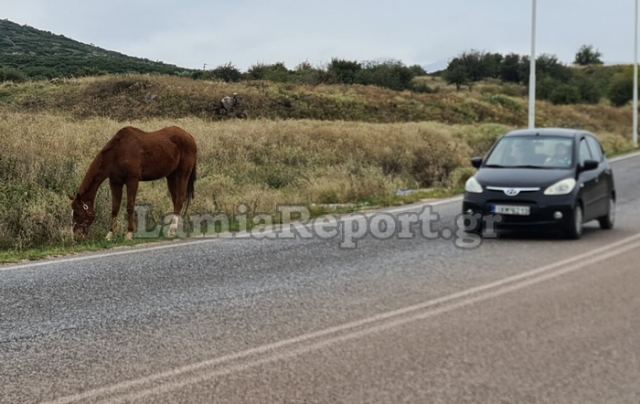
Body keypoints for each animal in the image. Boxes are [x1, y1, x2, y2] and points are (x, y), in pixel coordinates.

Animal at [70, 126, 198, 240]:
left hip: (182, 174)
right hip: (171, 176)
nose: (76, 237)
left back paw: (172, 231)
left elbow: (130, 206)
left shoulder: (132, 180)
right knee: (176, 200)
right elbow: (115, 208)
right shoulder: (115, 183)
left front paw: (129, 233)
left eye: (77, 213)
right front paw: (109, 235)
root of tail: (190, 136)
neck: (117, 152)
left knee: (180, 198)